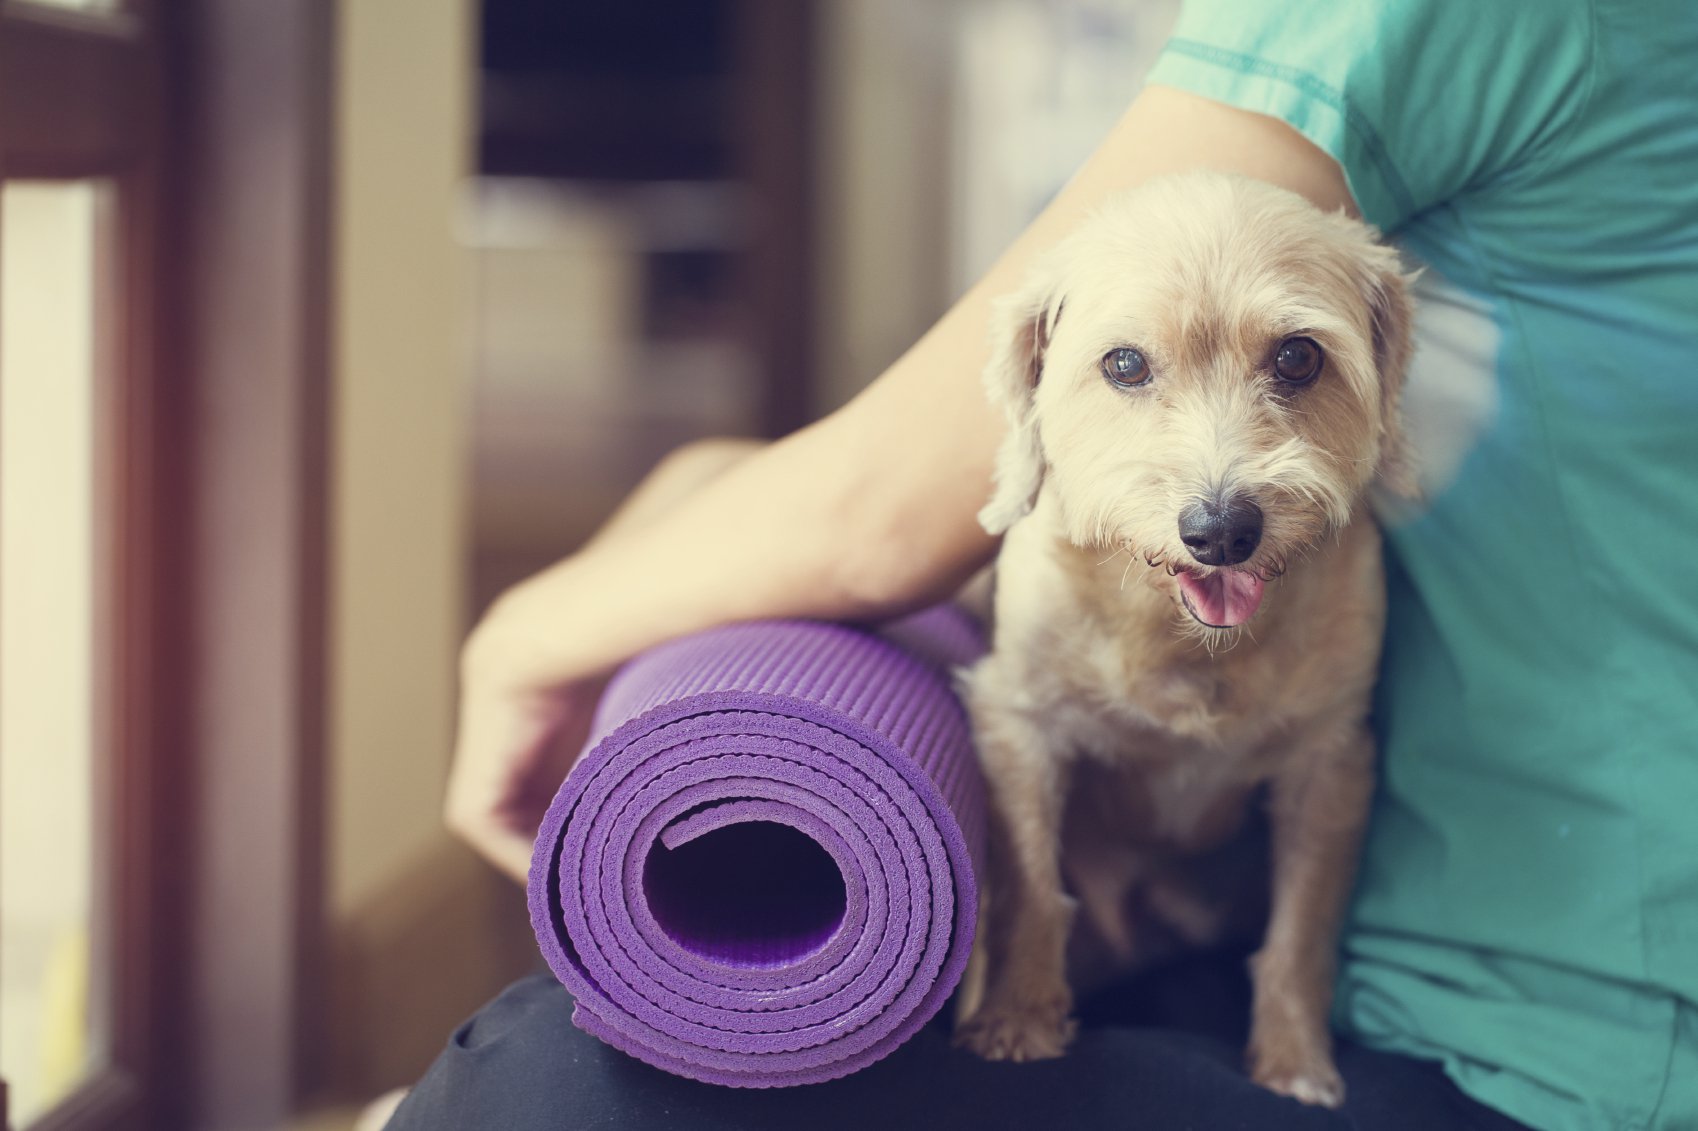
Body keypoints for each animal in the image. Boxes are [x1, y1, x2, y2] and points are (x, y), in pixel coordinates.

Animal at [950, 171, 1412, 1107]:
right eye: (1124, 363)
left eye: (1298, 357)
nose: (1222, 529)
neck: (1190, 646)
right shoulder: (1020, 728)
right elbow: (1031, 891)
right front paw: (1017, 1019)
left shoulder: (1330, 764)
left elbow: (1299, 933)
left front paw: (1294, 1060)